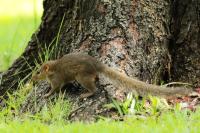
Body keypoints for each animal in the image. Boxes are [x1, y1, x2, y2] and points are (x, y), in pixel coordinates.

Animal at [31, 52, 192, 97]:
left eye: (38, 72)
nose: (31, 79)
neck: (53, 68)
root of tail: (98, 65)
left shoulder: (57, 80)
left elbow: (55, 88)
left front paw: (47, 94)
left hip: (82, 77)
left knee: (94, 89)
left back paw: (86, 94)